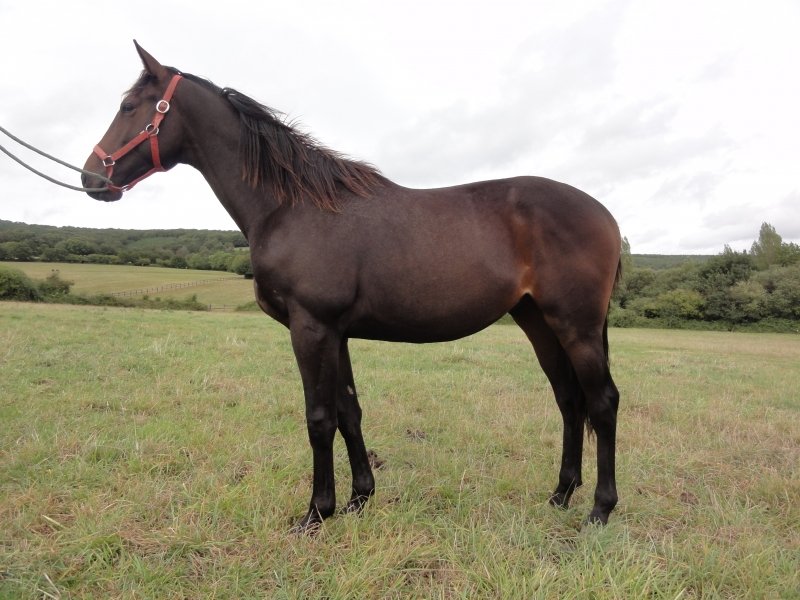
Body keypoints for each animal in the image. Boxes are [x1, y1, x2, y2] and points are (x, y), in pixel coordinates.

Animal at [83, 41, 622, 533]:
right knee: (569, 400)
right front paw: (359, 499)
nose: (92, 178)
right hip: (538, 322)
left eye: (129, 107)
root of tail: (605, 214)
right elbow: (349, 412)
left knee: (602, 402)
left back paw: (599, 510)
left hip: (575, 325)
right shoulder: (336, 333)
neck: (291, 206)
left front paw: (316, 513)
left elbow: (319, 418)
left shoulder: (311, 327)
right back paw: (560, 495)